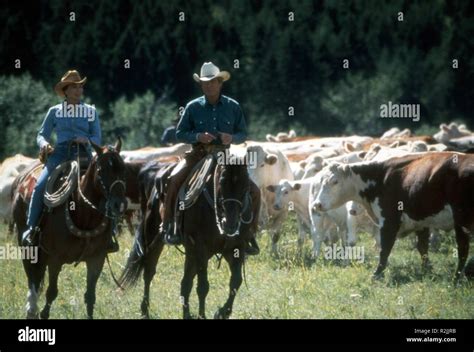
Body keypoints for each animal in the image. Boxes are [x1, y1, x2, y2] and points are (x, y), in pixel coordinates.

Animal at [12, 139, 128, 320]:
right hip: (27, 245)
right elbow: (51, 292)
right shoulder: (55, 259)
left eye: (123, 168)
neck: (84, 214)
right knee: (32, 277)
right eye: (101, 170)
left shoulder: (97, 258)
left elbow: (90, 296)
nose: (119, 204)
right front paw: (42, 313)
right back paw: (31, 308)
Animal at [118, 157, 260, 320]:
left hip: (192, 254)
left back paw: (185, 313)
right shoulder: (200, 248)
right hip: (155, 238)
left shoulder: (235, 248)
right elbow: (203, 286)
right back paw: (145, 310)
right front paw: (203, 315)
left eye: (246, 184)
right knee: (149, 271)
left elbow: (236, 282)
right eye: (222, 181)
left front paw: (222, 312)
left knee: (186, 282)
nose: (230, 224)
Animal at [312, 153, 472, 282]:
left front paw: (377, 274)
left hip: (462, 220)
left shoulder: (389, 221)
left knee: (463, 249)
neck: (380, 178)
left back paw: (456, 278)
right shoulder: (421, 221)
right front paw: (427, 270)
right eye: (320, 182)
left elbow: (385, 249)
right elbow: (422, 248)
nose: (317, 204)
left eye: (335, 181)